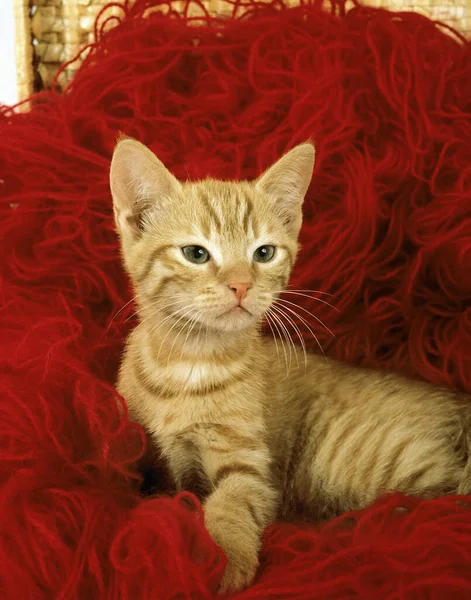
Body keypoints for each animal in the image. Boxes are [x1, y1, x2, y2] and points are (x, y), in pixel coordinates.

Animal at [110, 141, 471, 596]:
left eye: (263, 253)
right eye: (195, 253)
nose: (241, 285)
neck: (189, 363)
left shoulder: (249, 464)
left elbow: (231, 503)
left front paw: (226, 558)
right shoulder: (153, 453)